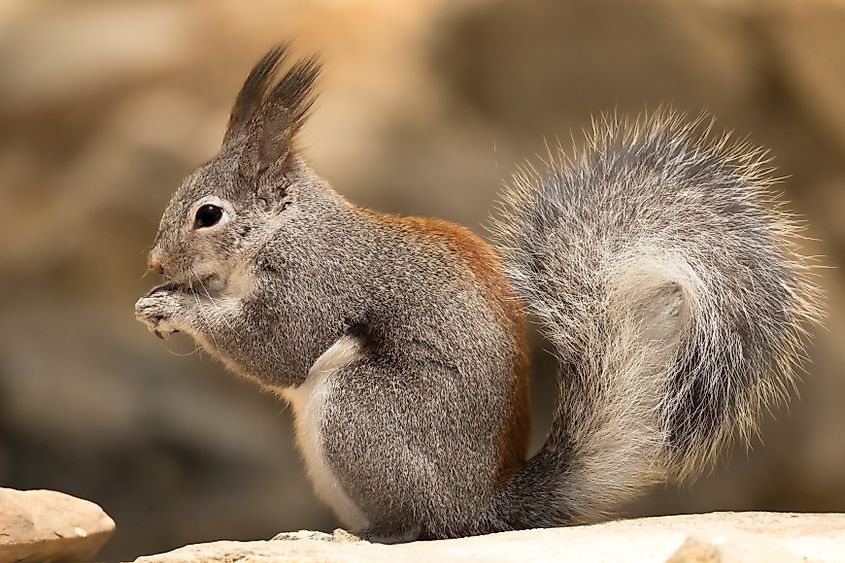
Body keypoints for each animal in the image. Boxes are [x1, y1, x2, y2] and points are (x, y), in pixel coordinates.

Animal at [135, 46, 819, 542]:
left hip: (361, 413)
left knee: (422, 527)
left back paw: (372, 536)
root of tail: (482, 508)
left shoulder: (318, 284)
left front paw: (174, 307)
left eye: (208, 215)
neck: (286, 230)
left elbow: (278, 351)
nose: (155, 262)